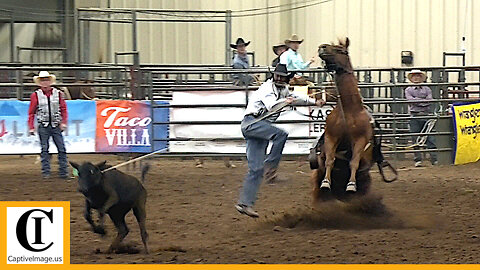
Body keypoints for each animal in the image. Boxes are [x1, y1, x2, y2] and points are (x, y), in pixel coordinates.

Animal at [318, 38, 372, 194]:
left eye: (340, 50)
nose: (322, 47)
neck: (348, 110)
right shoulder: (331, 137)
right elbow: (330, 160)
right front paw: (325, 183)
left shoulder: (360, 139)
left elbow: (354, 162)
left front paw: (351, 185)